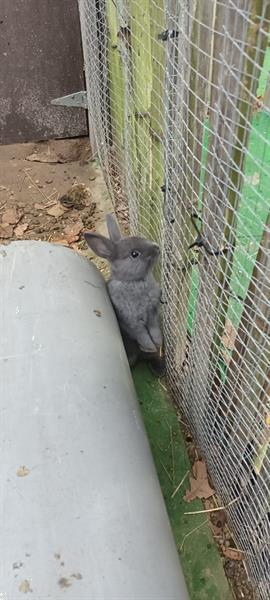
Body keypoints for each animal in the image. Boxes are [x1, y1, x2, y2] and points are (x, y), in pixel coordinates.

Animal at [84, 216, 165, 376]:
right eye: (134, 254)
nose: (157, 248)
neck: (134, 282)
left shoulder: (152, 313)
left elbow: (154, 330)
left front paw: (157, 343)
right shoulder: (131, 321)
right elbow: (142, 334)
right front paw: (150, 346)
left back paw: (159, 368)